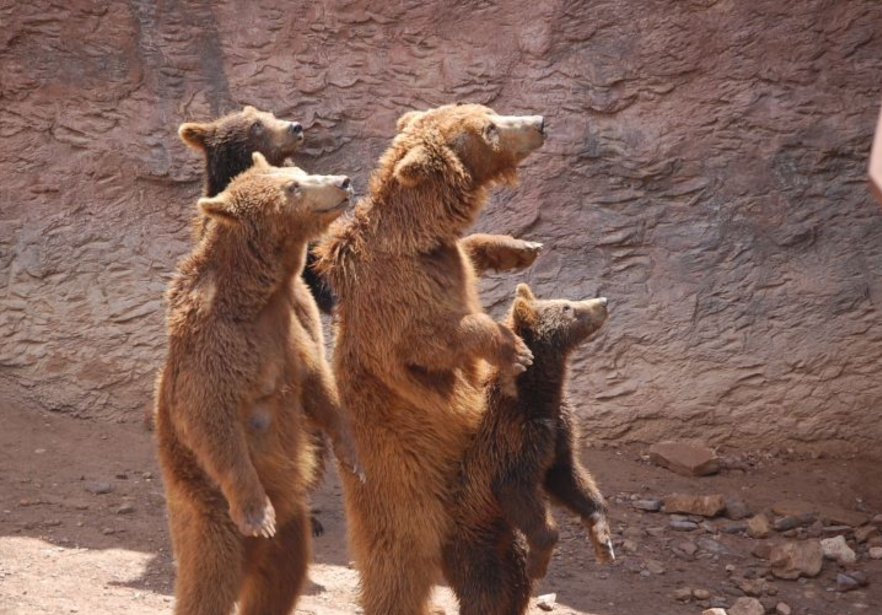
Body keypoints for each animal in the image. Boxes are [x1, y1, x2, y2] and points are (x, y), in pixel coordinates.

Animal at [154, 153, 357, 615]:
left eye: (298, 173)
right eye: (292, 188)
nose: (343, 180)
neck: (258, 296)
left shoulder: (292, 329)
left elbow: (319, 386)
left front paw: (354, 455)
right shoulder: (213, 340)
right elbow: (208, 415)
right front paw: (256, 513)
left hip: (292, 529)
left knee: (280, 581)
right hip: (207, 513)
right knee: (207, 582)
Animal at [314, 103, 546, 615]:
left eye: (490, 112)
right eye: (490, 128)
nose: (540, 123)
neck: (419, 238)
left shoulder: (446, 259)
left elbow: (471, 251)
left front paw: (520, 248)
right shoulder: (399, 298)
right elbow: (433, 341)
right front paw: (514, 349)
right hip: (409, 492)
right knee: (401, 570)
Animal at [442, 283, 614, 615]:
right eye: (566, 307)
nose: (603, 301)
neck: (537, 393)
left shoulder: (557, 427)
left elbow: (566, 474)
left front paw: (602, 538)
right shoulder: (511, 437)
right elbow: (516, 487)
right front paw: (542, 561)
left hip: (505, 535)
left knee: (516, 580)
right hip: (470, 534)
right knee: (485, 588)